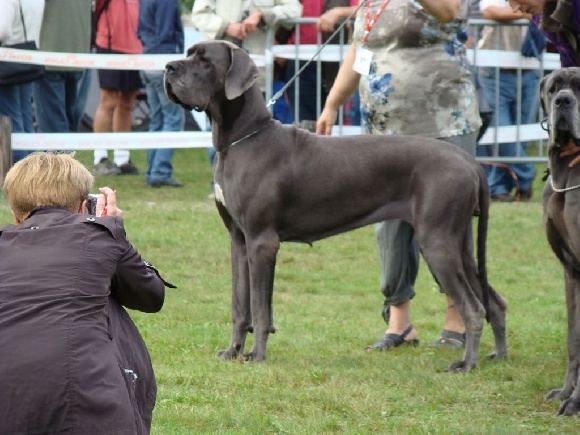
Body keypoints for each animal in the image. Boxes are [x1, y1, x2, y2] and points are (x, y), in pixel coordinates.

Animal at [164, 40, 508, 372]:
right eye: (189, 53)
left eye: (205, 60)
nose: (169, 66)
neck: (241, 138)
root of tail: (469, 161)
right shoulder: (239, 240)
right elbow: (239, 304)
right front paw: (232, 351)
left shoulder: (262, 241)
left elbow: (261, 309)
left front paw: (257, 356)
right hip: (460, 244)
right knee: (495, 302)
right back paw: (499, 356)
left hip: (437, 242)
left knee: (473, 308)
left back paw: (467, 364)